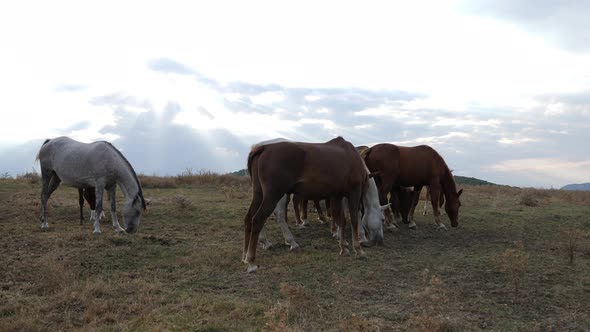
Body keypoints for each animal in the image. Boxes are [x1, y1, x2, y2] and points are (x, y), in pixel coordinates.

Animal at [245, 137, 388, 272]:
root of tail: (263, 148)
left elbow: (341, 220)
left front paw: (343, 247)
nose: (380, 240)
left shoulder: (338, 196)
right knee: (259, 219)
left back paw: (249, 254)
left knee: (249, 218)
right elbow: (353, 220)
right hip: (273, 195)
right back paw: (253, 260)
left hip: (260, 194)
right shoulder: (354, 193)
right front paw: (359, 249)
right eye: (383, 219)